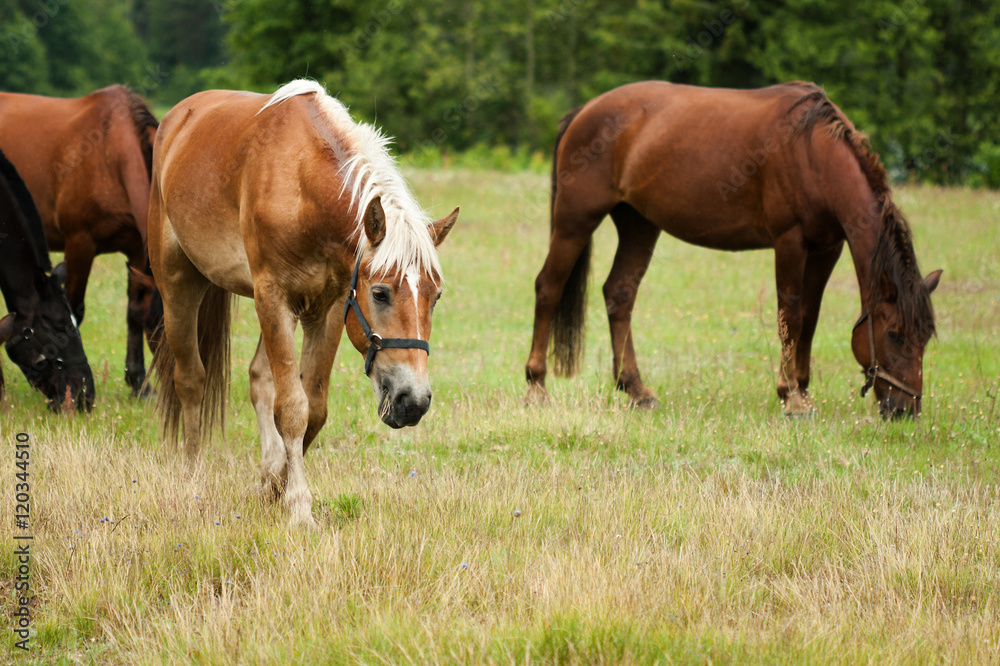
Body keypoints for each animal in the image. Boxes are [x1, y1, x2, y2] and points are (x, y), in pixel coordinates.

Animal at [148, 79, 460, 524]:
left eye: (435, 296)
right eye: (380, 293)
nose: (413, 401)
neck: (301, 182)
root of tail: (178, 118)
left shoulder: (329, 309)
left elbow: (312, 408)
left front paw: (275, 486)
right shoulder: (273, 298)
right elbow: (292, 409)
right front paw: (298, 507)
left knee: (259, 378)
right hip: (179, 283)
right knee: (191, 380)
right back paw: (192, 477)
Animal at [528, 80, 940, 418]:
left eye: (924, 338)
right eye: (894, 334)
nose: (905, 410)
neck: (812, 153)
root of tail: (584, 111)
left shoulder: (828, 248)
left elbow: (810, 316)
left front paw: (803, 390)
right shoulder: (789, 242)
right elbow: (790, 316)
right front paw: (790, 396)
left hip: (639, 225)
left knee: (619, 294)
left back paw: (636, 389)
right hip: (575, 220)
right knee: (549, 287)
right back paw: (537, 385)